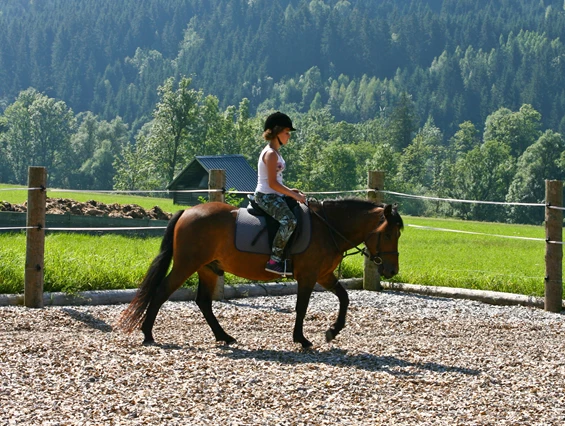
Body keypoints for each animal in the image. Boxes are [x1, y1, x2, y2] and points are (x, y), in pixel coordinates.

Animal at [118, 198, 400, 348]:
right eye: (388, 234)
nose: (392, 270)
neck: (328, 227)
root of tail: (188, 211)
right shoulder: (308, 276)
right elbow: (302, 307)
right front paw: (301, 339)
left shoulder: (324, 275)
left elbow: (344, 297)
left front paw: (333, 330)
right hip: (186, 265)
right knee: (162, 292)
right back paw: (148, 334)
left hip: (208, 268)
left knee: (203, 302)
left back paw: (224, 336)